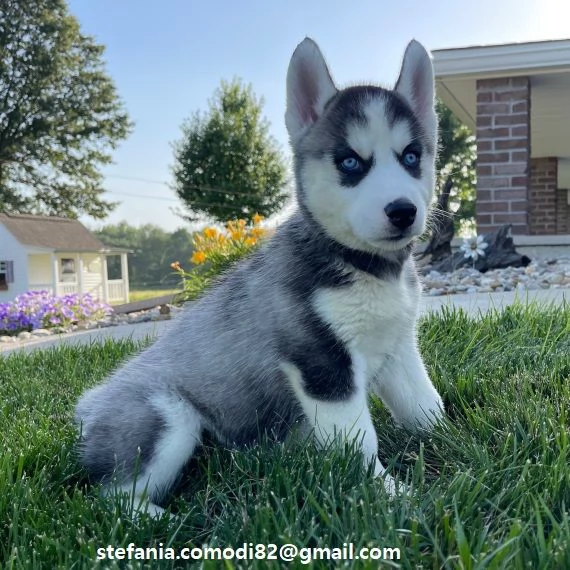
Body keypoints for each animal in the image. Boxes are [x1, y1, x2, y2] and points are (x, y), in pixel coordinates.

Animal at [72, 37, 444, 512]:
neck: (372, 269)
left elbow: (425, 404)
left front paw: (454, 438)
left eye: (412, 156)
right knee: (111, 498)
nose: (403, 211)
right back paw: (164, 520)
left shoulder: (399, 348)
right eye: (349, 163)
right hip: (166, 417)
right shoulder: (321, 363)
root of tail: (89, 404)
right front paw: (391, 495)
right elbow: (361, 442)